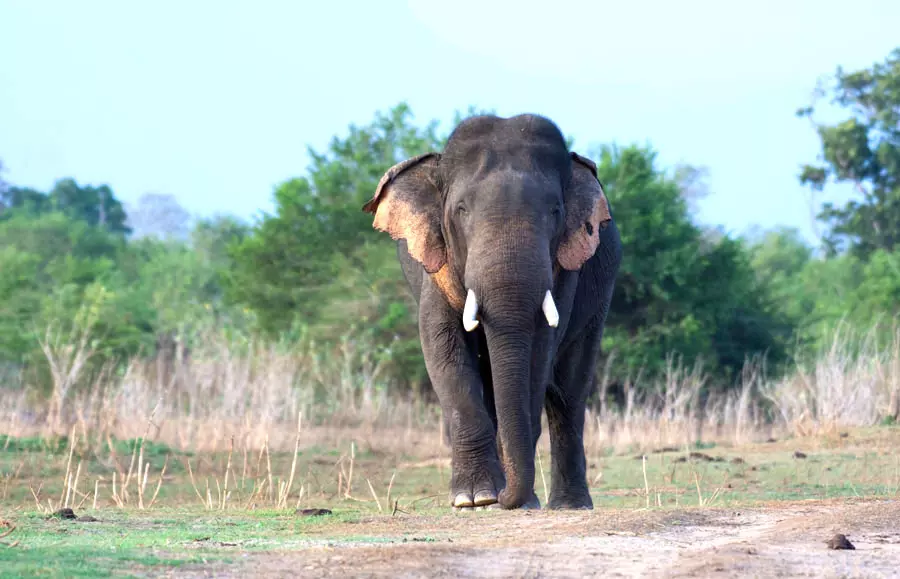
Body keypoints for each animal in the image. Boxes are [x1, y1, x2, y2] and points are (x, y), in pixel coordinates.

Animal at [358, 114, 620, 512]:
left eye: (555, 211)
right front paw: (474, 499)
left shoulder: (564, 270)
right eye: (461, 209)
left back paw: (569, 505)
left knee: (570, 394)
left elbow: (539, 351)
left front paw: (508, 500)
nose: (505, 497)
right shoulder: (435, 263)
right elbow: (442, 345)